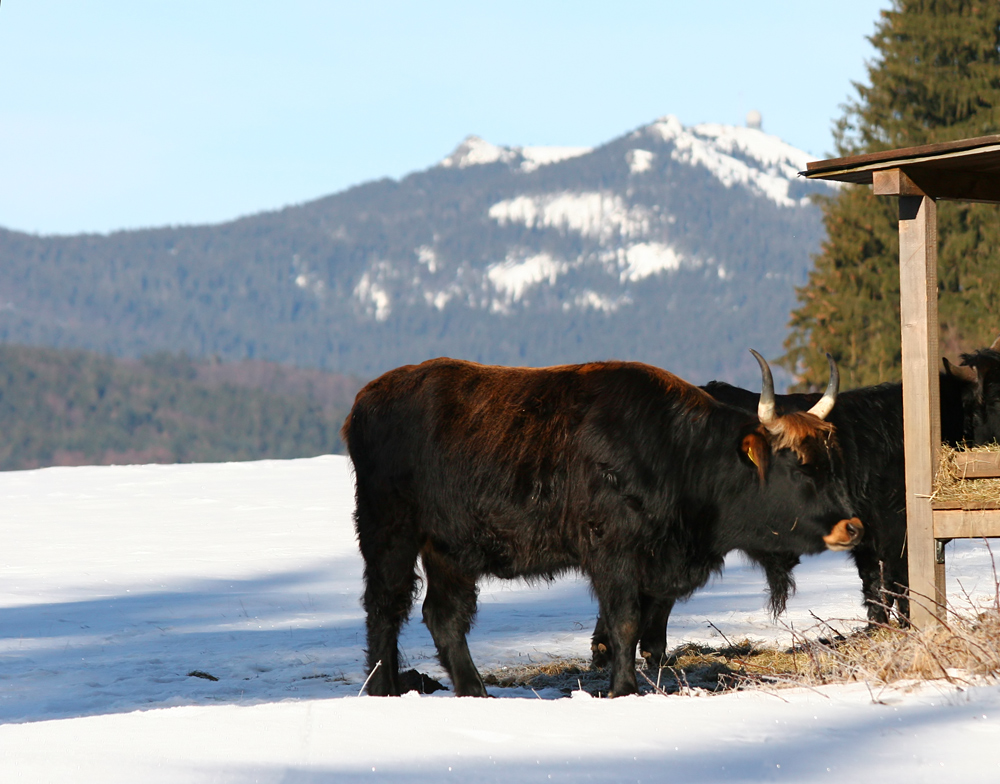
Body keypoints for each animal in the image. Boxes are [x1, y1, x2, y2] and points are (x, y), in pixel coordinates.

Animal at [342, 352, 860, 696]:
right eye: (796, 464)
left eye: (832, 460)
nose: (851, 526)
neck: (676, 453)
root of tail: (365, 399)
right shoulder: (614, 554)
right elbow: (624, 623)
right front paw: (624, 689)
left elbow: (647, 626)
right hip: (389, 534)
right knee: (385, 609)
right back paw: (383, 687)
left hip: (450, 550)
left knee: (444, 616)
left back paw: (475, 692)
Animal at [588, 340, 1000, 664]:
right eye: (991, 399)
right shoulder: (894, 532)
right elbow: (898, 588)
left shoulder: (869, 537)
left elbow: (877, 588)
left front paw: (879, 631)